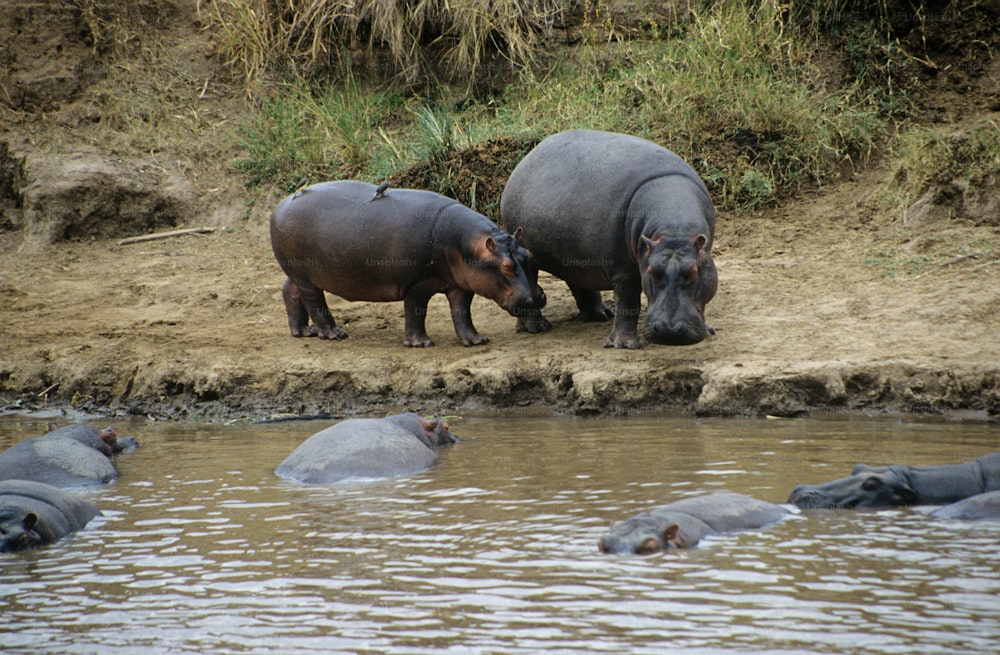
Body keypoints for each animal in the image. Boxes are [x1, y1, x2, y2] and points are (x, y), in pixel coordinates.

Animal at [268, 177, 548, 346]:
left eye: (529, 256)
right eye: (506, 266)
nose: (535, 298)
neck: (468, 245)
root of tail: (280, 205)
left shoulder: (461, 284)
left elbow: (462, 312)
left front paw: (475, 340)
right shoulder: (418, 283)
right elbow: (416, 310)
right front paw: (421, 343)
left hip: (297, 272)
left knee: (289, 290)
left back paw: (303, 331)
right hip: (307, 277)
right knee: (315, 302)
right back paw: (333, 334)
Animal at [504, 130, 716, 352]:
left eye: (694, 271)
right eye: (651, 271)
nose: (669, 331)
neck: (673, 231)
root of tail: (527, 158)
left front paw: (709, 330)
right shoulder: (624, 271)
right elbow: (628, 302)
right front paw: (625, 345)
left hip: (576, 255)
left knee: (579, 282)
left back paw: (601, 315)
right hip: (528, 257)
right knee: (529, 285)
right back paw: (536, 328)